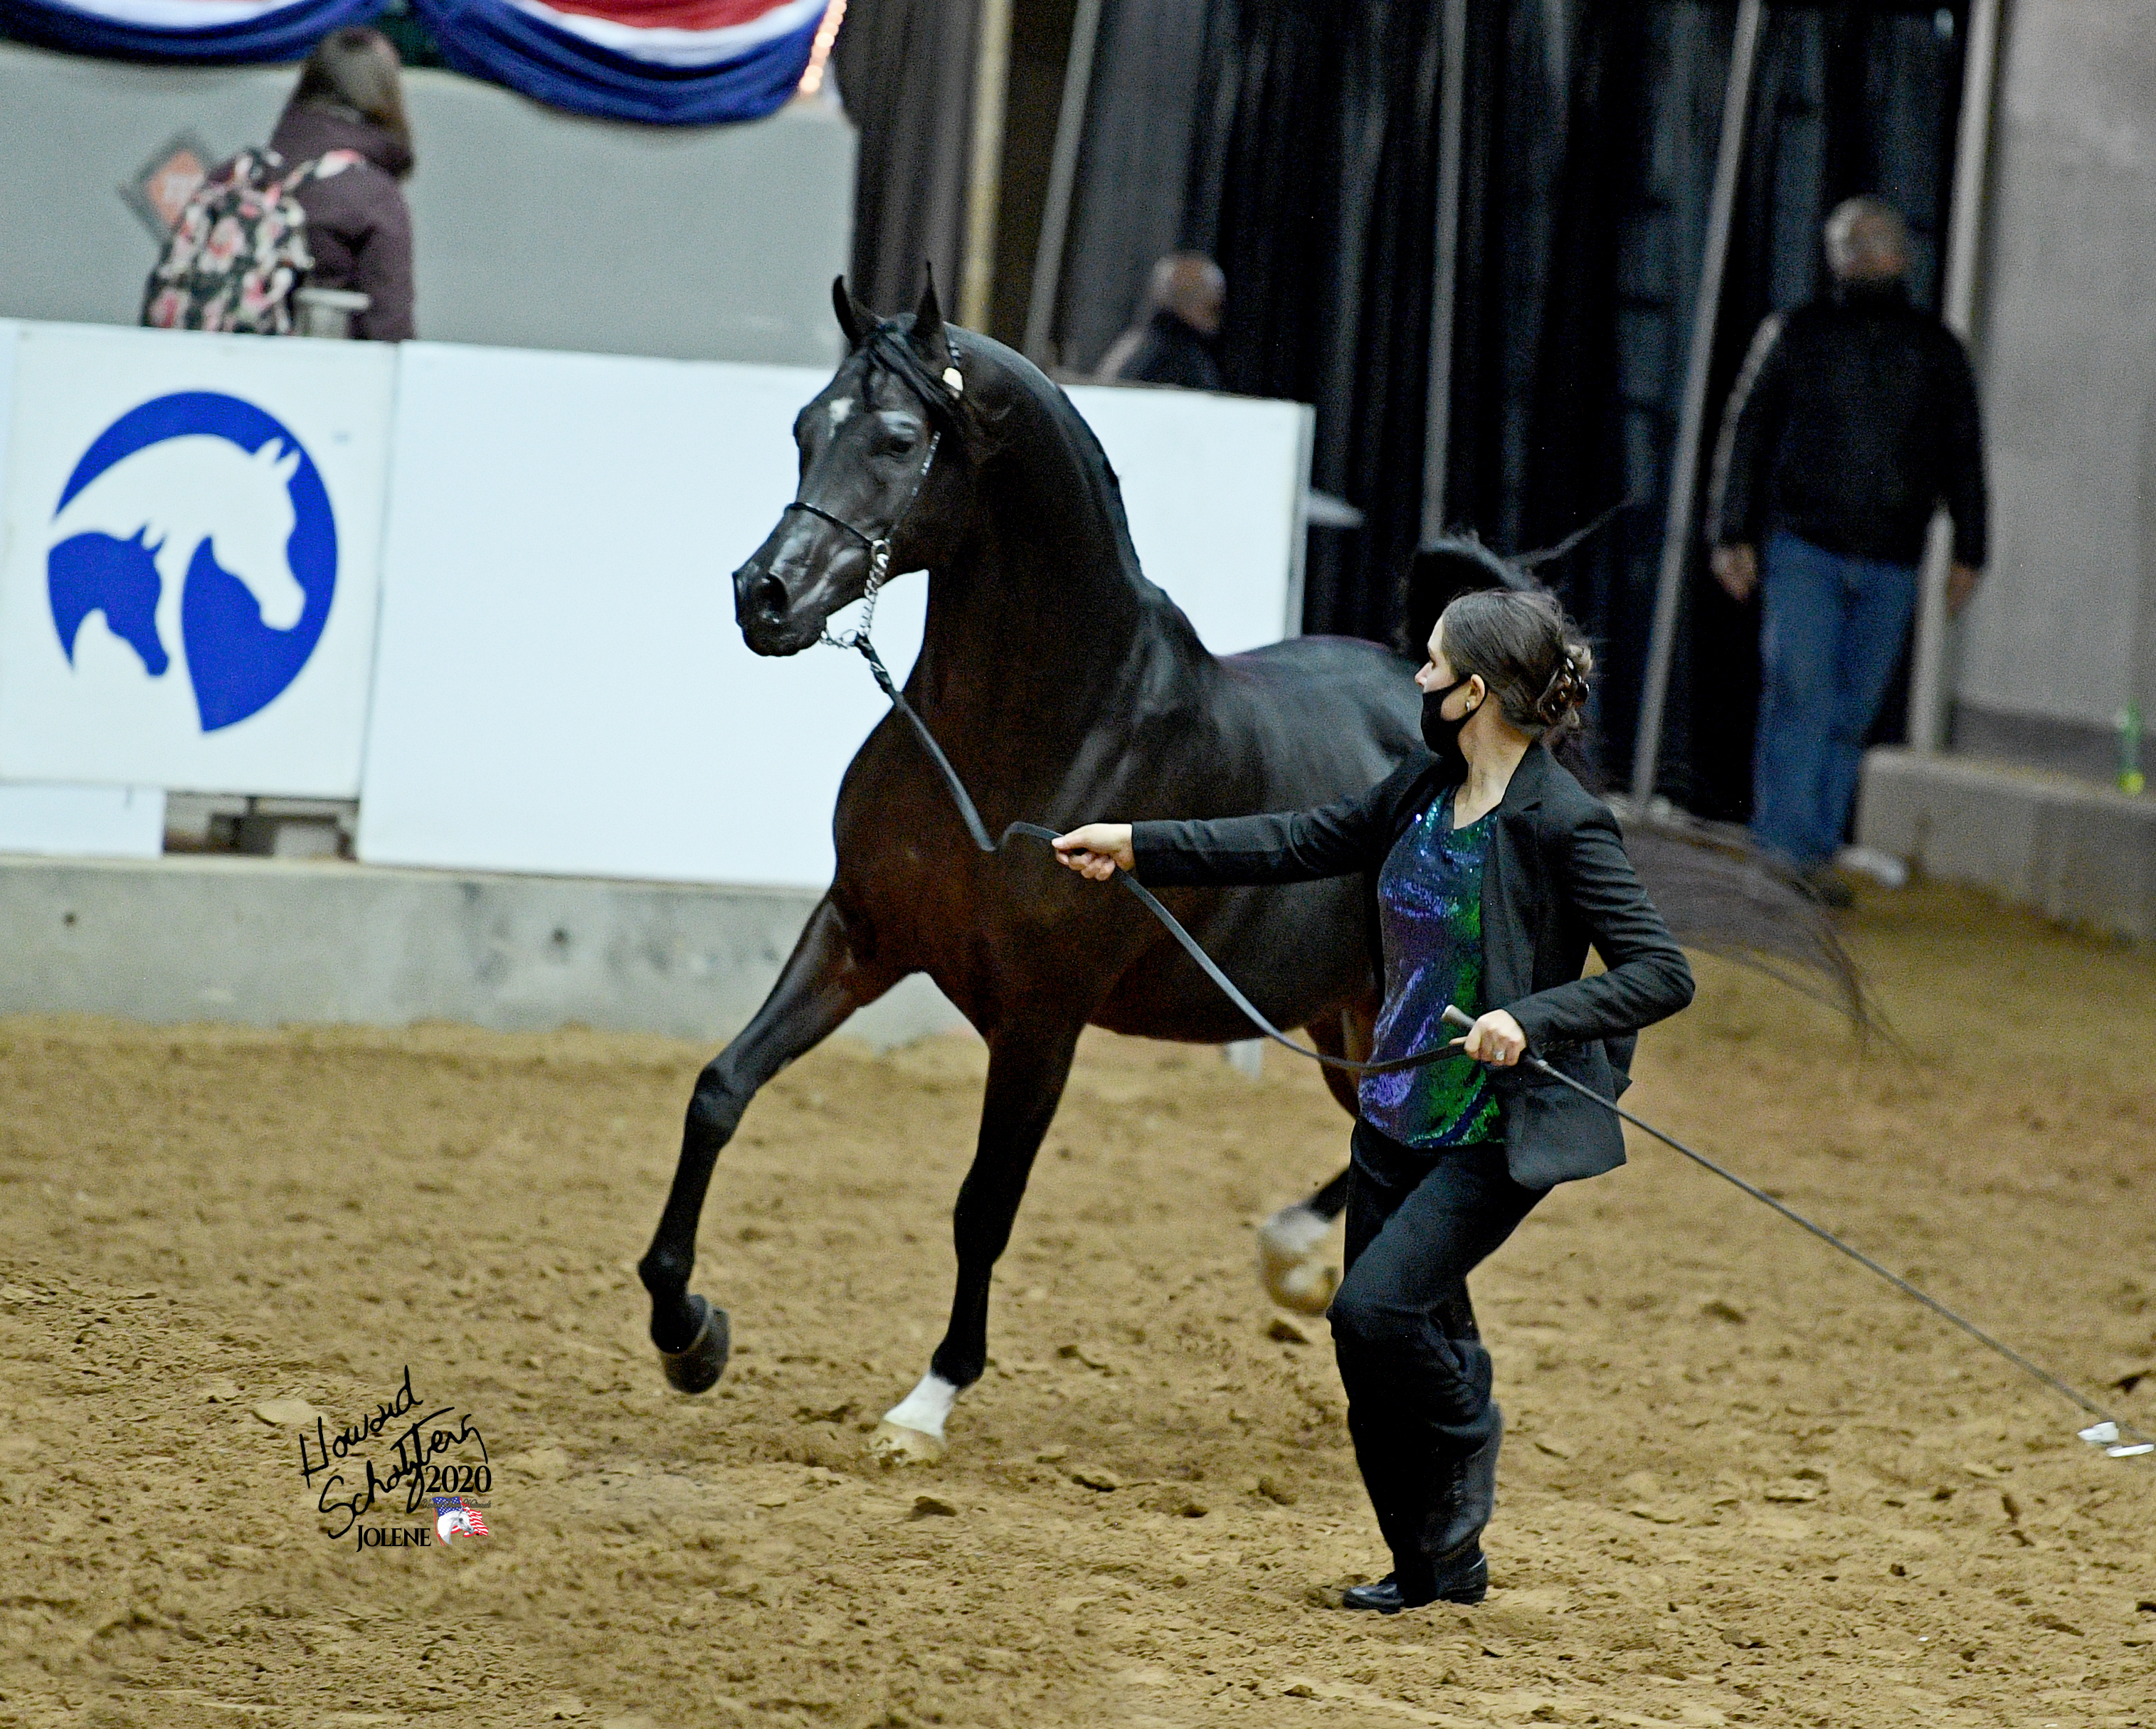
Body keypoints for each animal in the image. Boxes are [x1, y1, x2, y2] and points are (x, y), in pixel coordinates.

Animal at [638, 275, 1854, 1465]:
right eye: (805, 426)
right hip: (1349, 1021)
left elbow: (984, 1202)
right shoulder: (860, 934)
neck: (1030, 736)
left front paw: (926, 1402)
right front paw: (688, 1333)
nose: (764, 596)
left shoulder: (1041, 1018)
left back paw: (1309, 1270)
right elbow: (719, 1090)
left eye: (895, 438)